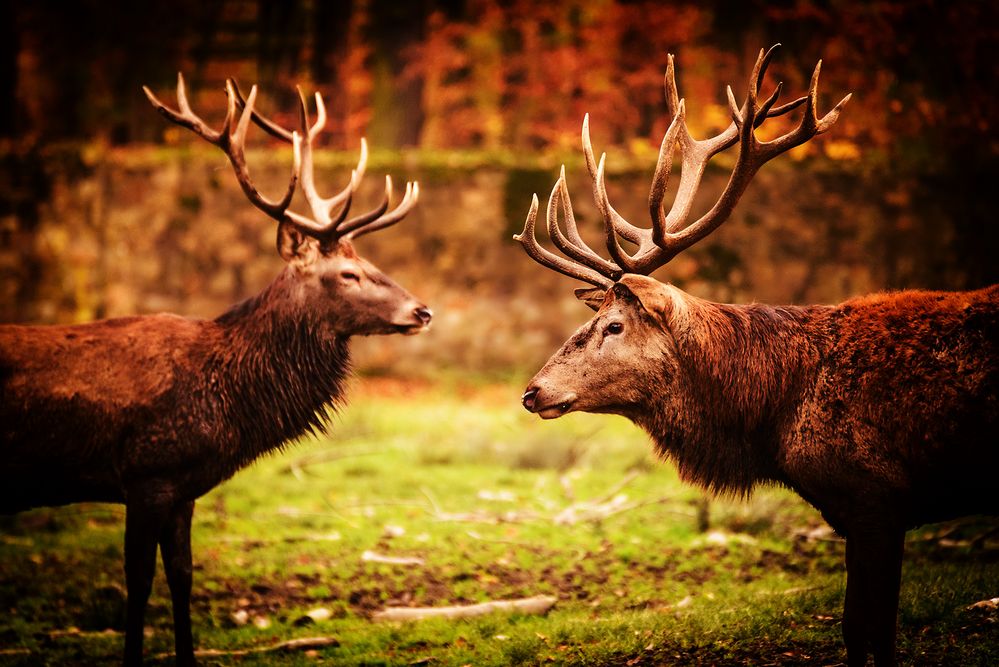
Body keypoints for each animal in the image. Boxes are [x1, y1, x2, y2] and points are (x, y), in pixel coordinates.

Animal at [0, 75, 430, 664]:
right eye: (348, 273)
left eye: (369, 263)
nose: (422, 311)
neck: (223, 401)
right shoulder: (145, 474)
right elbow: (139, 582)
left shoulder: (182, 488)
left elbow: (182, 576)